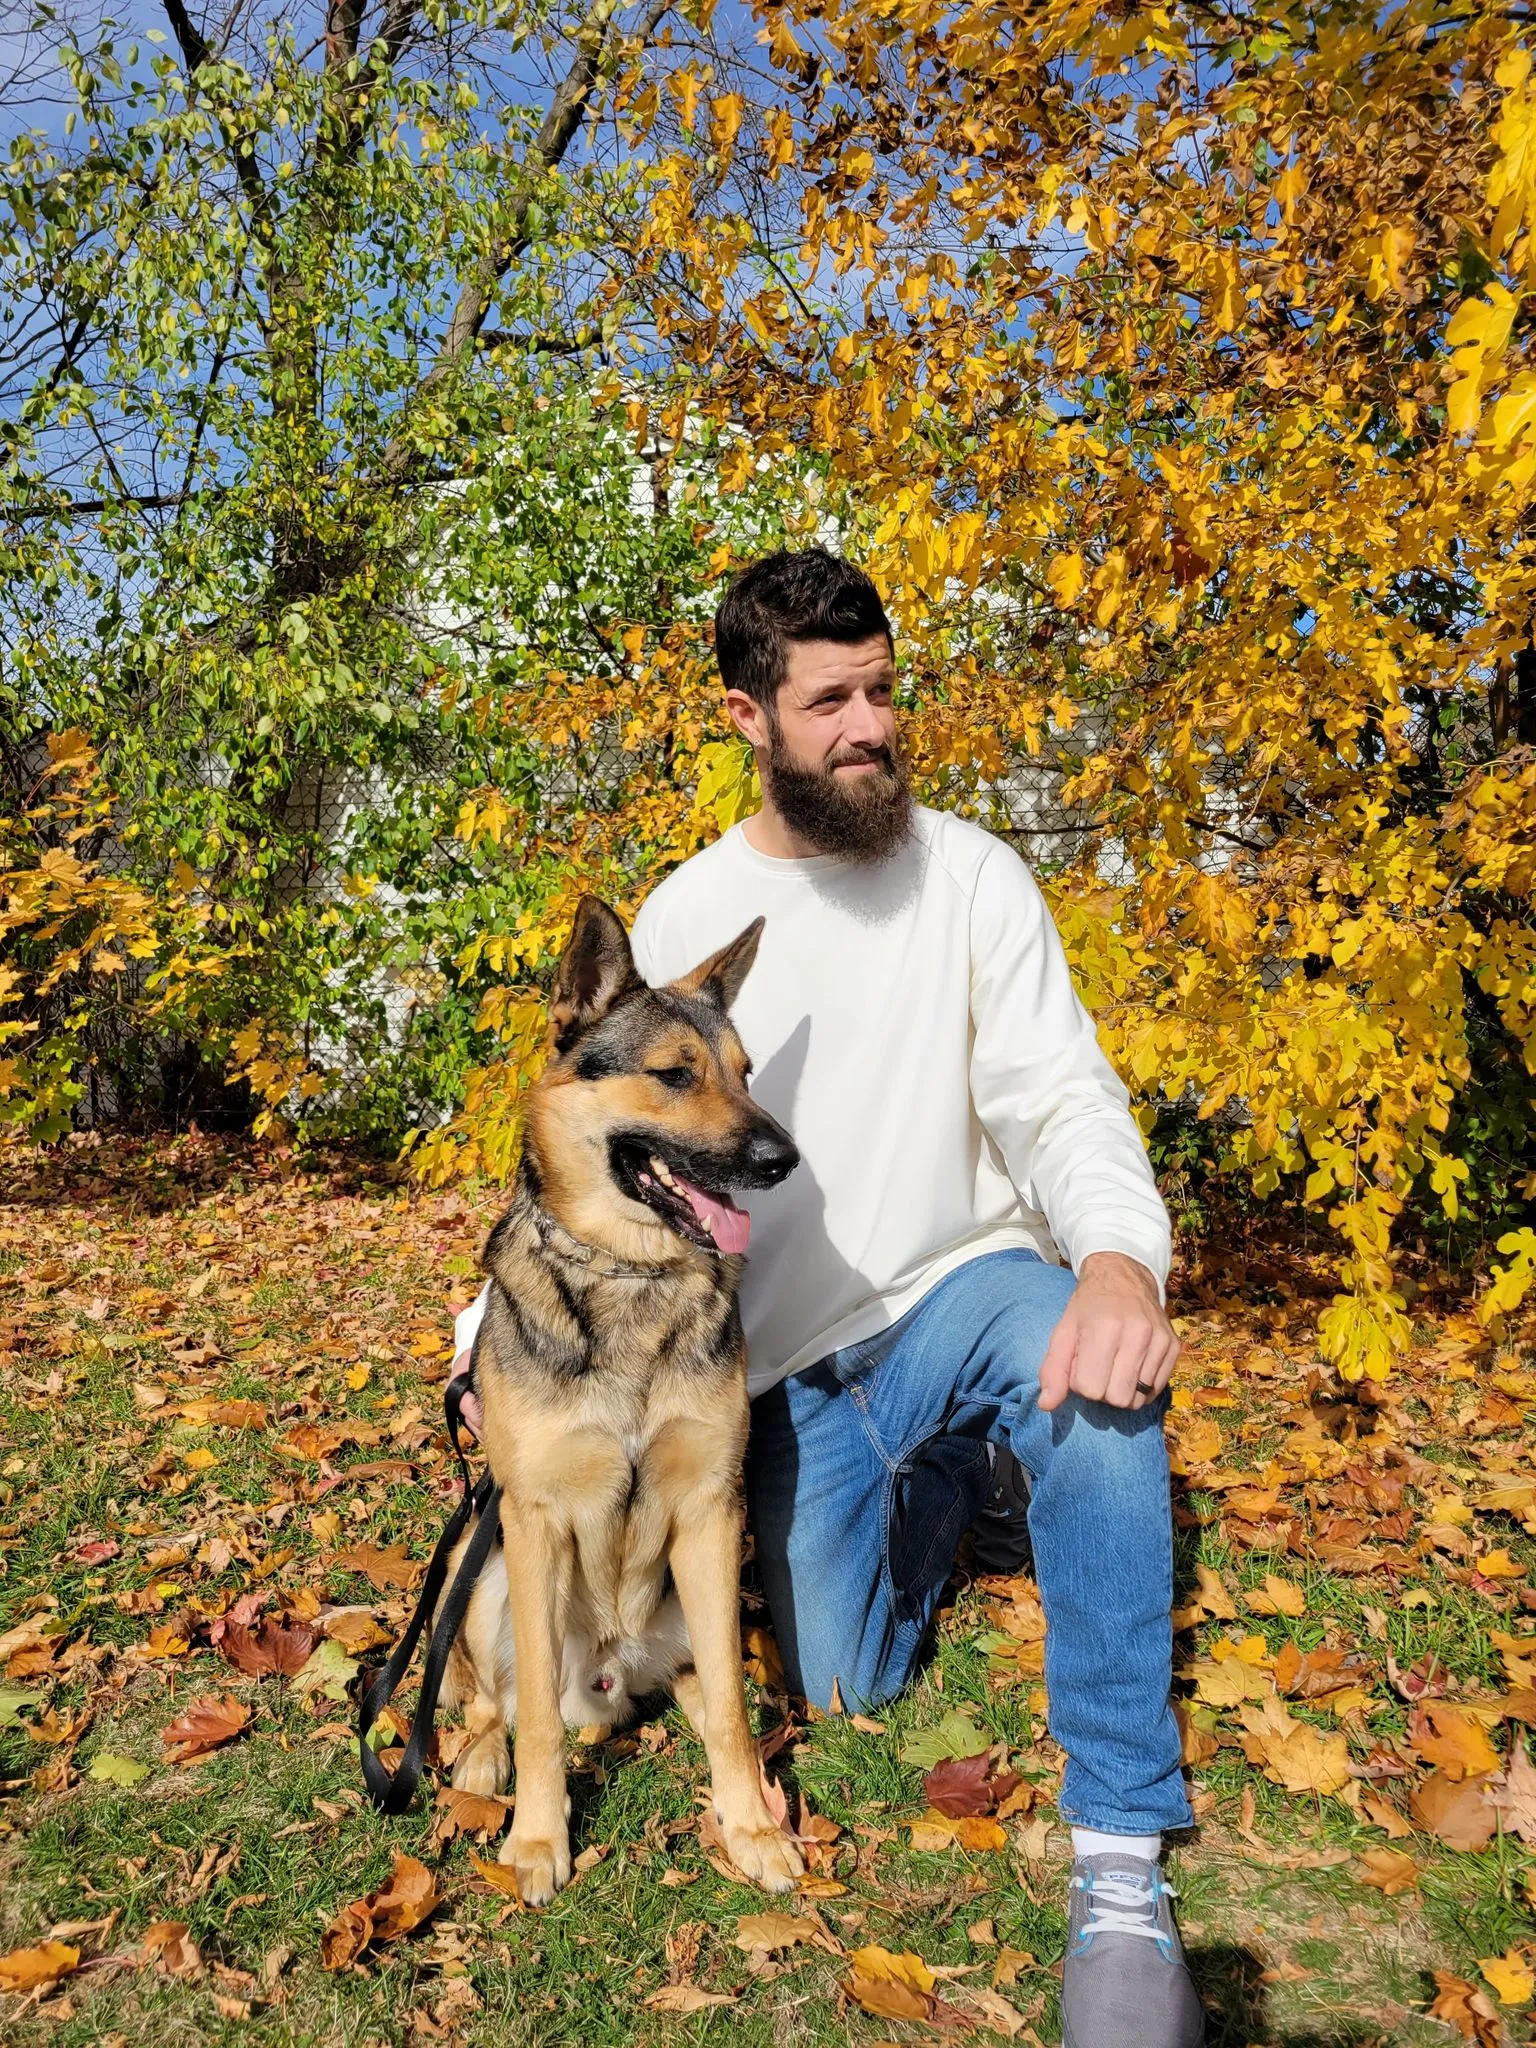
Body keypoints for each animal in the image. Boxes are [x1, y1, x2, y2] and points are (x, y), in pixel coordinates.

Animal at [438, 897, 806, 1900]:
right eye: (673, 1075)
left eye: (747, 1074)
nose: (784, 1158)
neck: (633, 1278)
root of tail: (604, 1677)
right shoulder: (529, 1518)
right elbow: (535, 1725)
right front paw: (537, 1838)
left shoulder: (712, 1513)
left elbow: (732, 1704)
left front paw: (751, 1828)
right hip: (480, 1578)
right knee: (499, 1702)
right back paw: (482, 1756)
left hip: (687, 1602)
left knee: (695, 1687)